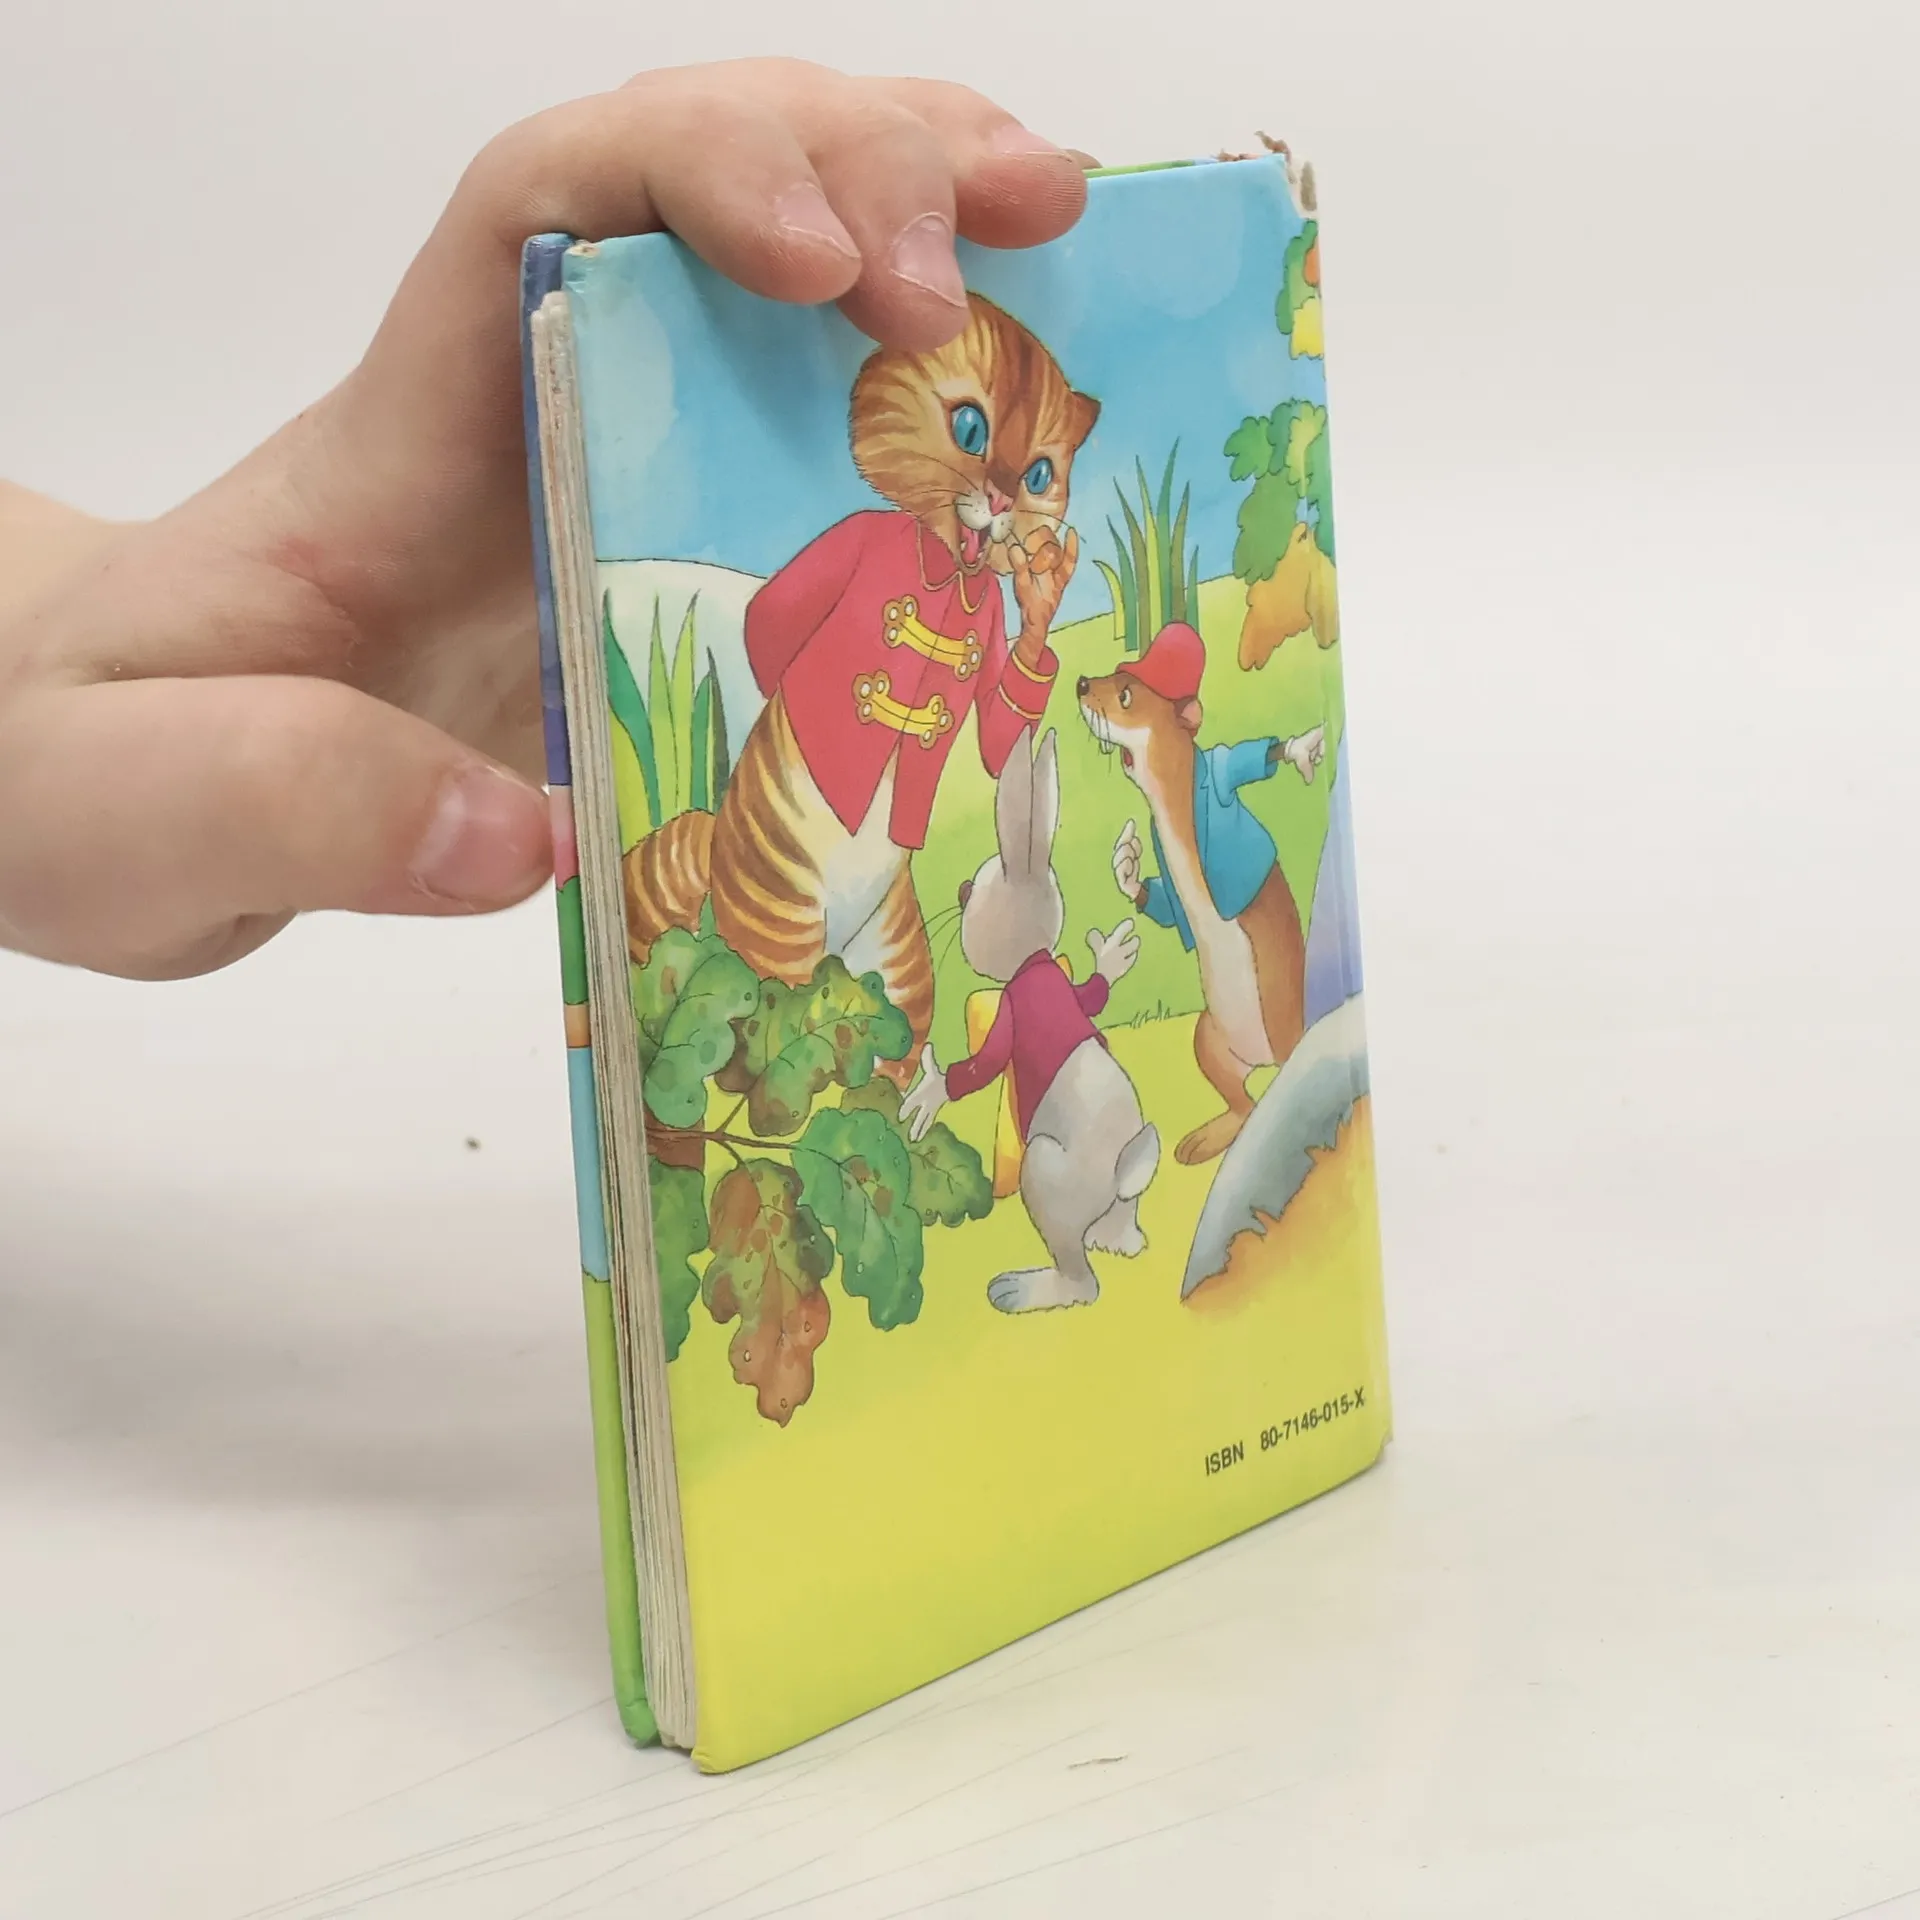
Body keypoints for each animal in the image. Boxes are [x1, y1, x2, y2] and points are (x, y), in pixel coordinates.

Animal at [901, 727, 1161, 1313]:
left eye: (970, 893)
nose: (957, 891)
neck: (1034, 960)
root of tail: (1124, 1170)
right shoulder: (1066, 991)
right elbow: (1090, 995)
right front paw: (1112, 957)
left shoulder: (1013, 1013)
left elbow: (981, 1066)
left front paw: (929, 1089)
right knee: (1122, 1226)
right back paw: (1116, 1240)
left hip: (1041, 1175)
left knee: (1082, 1282)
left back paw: (1022, 1289)